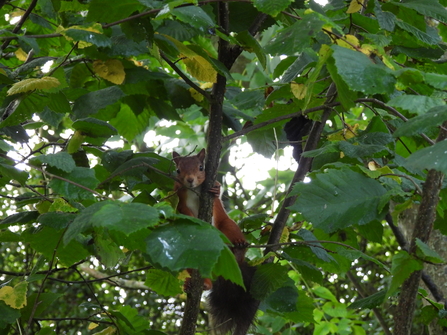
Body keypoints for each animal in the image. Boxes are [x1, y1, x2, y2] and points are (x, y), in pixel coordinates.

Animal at [173, 150, 260, 335]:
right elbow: (182, 210)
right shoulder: (178, 194)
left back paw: (239, 248)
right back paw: (199, 283)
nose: (190, 180)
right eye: (178, 170)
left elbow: (217, 191)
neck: (193, 190)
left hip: (227, 226)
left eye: (201, 167)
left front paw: (217, 189)